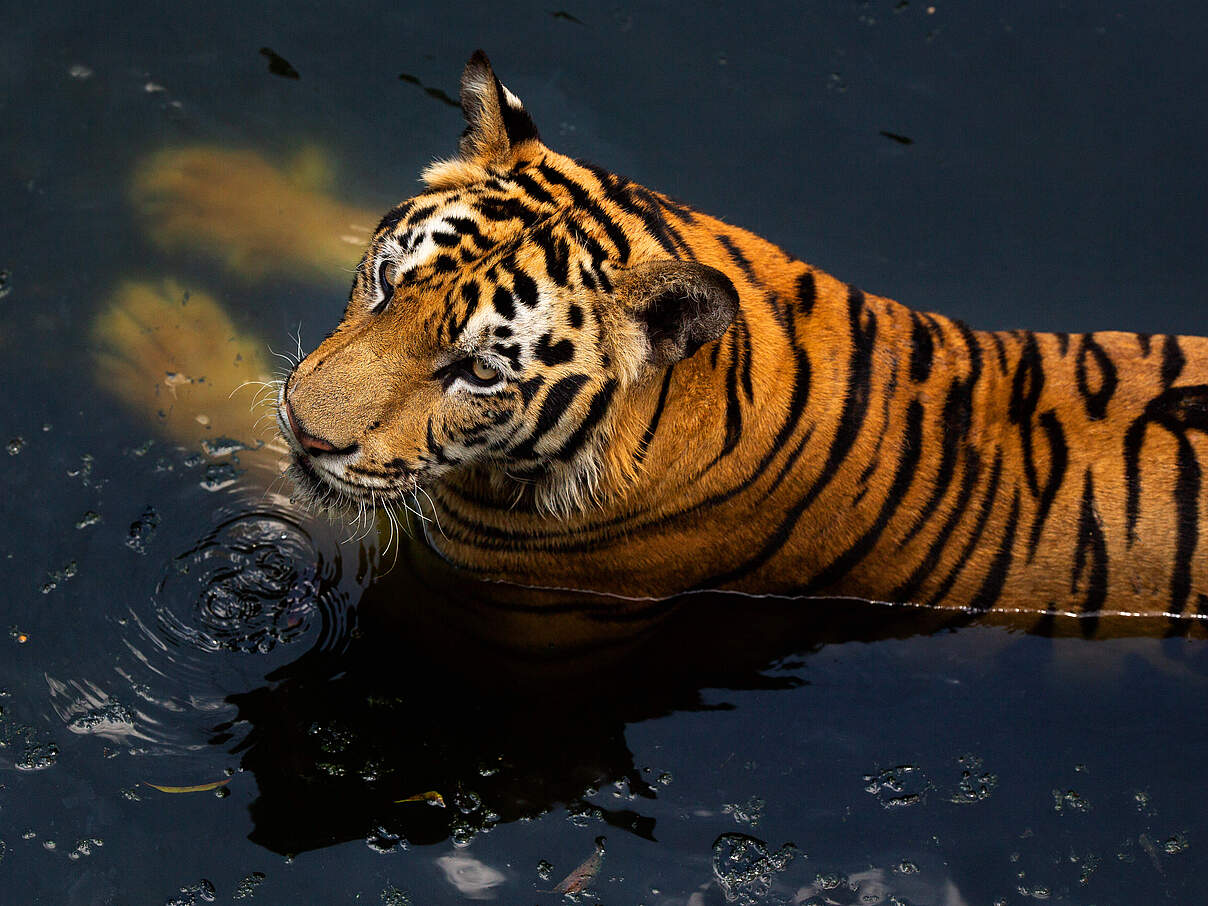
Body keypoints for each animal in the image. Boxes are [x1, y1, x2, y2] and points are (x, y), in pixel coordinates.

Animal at [94, 51, 1208, 647]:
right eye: (387, 281)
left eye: (479, 373)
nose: (306, 426)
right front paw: (205, 186)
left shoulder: (461, 566)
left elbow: (272, 476)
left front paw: (151, 333)